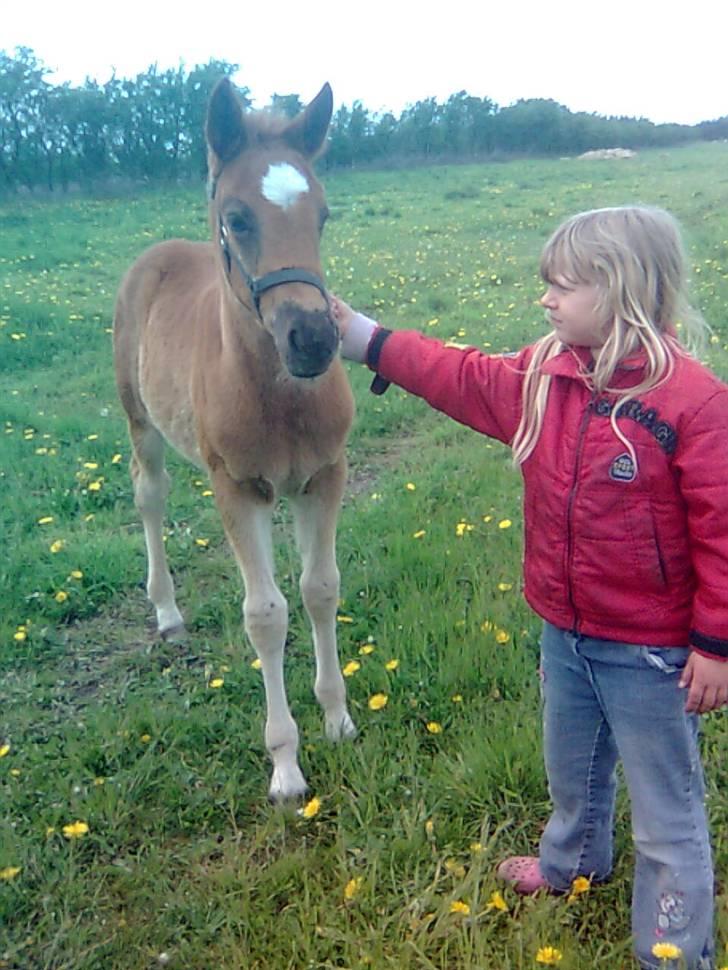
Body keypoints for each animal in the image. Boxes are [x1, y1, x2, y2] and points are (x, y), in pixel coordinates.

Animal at [114, 81, 358, 796]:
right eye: (239, 218)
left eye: (323, 215)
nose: (314, 338)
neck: (279, 396)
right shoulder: (239, 487)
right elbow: (265, 615)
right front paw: (286, 766)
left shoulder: (324, 475)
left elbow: (319, 588)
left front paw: (337, 719)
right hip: (141, 421)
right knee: (150, 495)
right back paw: (166, 612)